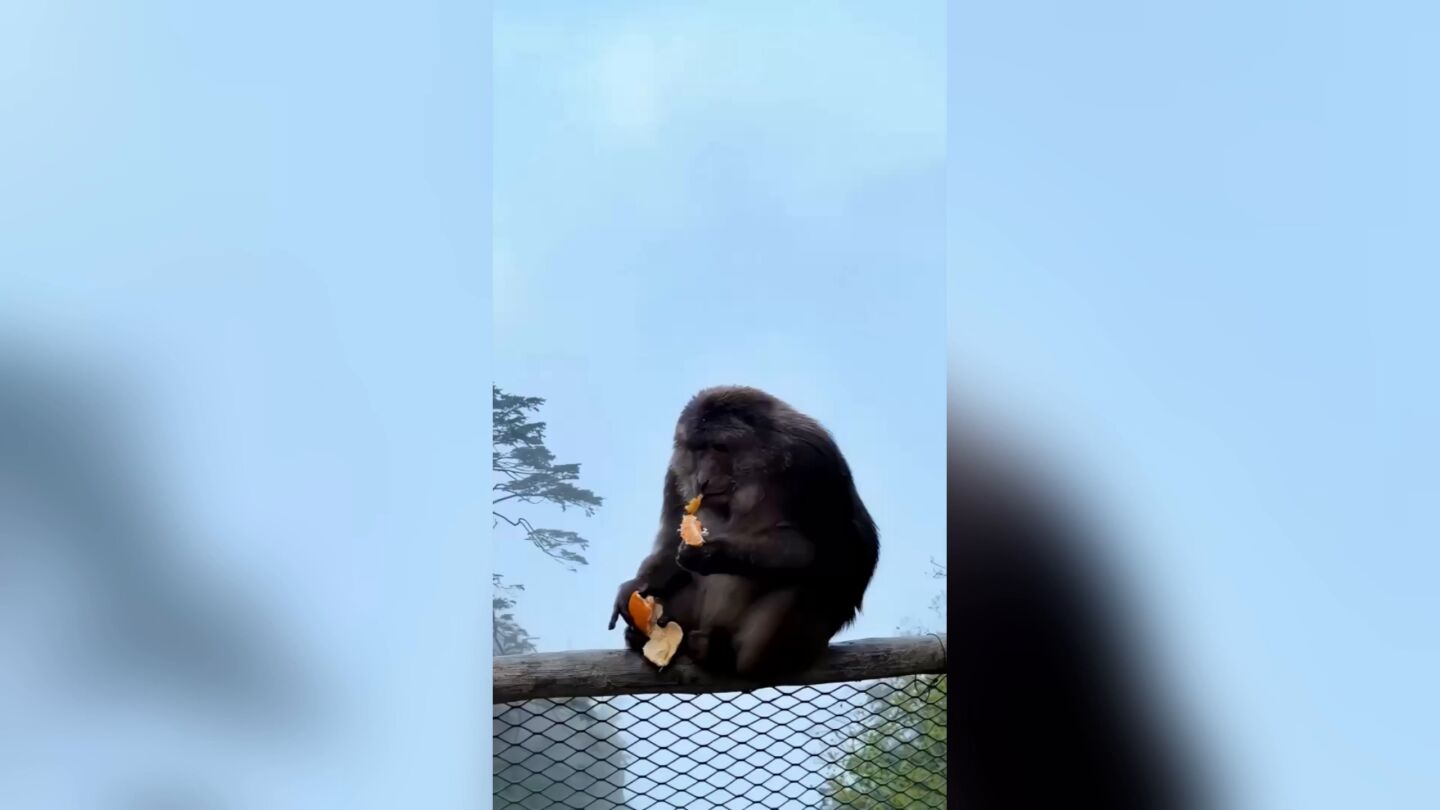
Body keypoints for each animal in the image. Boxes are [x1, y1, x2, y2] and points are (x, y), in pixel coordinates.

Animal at [607, 386, 879, 679]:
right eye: (697, 449)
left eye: (719, 447)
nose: (702, 479)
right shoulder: (675, 472)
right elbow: (671, 541)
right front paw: (636, 585)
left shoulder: (816, 464)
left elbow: (838, 555)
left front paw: (713, 553)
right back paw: (644, 637)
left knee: (810, 584)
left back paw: (720, 655)